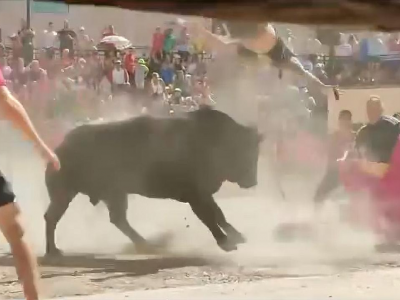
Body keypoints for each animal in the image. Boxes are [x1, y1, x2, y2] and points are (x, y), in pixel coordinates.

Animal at [44, 106, 262, 255]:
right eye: (243, 151)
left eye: (255, 152)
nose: (252, 181)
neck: (211, 140)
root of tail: (60, 146)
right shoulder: (195, 196)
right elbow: (209, 216)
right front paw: (226, 243)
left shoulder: (203, 194)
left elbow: (219, 214)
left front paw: (238, 237)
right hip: (66, 194)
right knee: (52, 218)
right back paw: (53, 251)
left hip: (113, 194)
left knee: (118, 219)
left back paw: (145, 244)